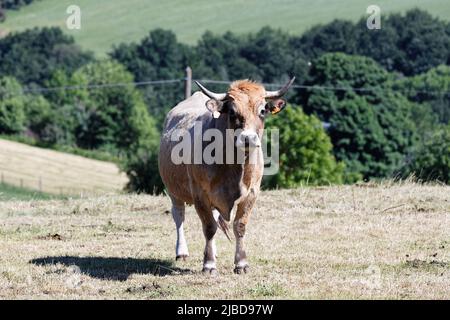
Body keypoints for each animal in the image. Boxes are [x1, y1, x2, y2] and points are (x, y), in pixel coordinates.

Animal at [158, 78, 296, 276]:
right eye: (232, 111)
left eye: (262, 110)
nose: (248, 138)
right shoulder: (200, 194)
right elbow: (208, 227)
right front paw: (209, 265)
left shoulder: (252, 193)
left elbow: (239, 226)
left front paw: (241, 263)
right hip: (173, 190)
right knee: (179, 216)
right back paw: (182, 252)